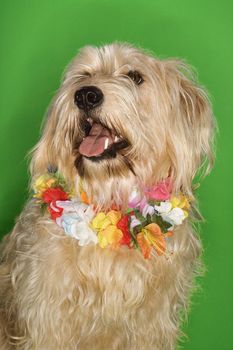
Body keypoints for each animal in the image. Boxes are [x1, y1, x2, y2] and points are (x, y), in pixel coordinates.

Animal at [0, 42, 215, 348]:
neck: (110, 197)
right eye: (84, 75)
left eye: (135, 77)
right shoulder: (48, 317)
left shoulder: (151, 323)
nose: (85, 95)